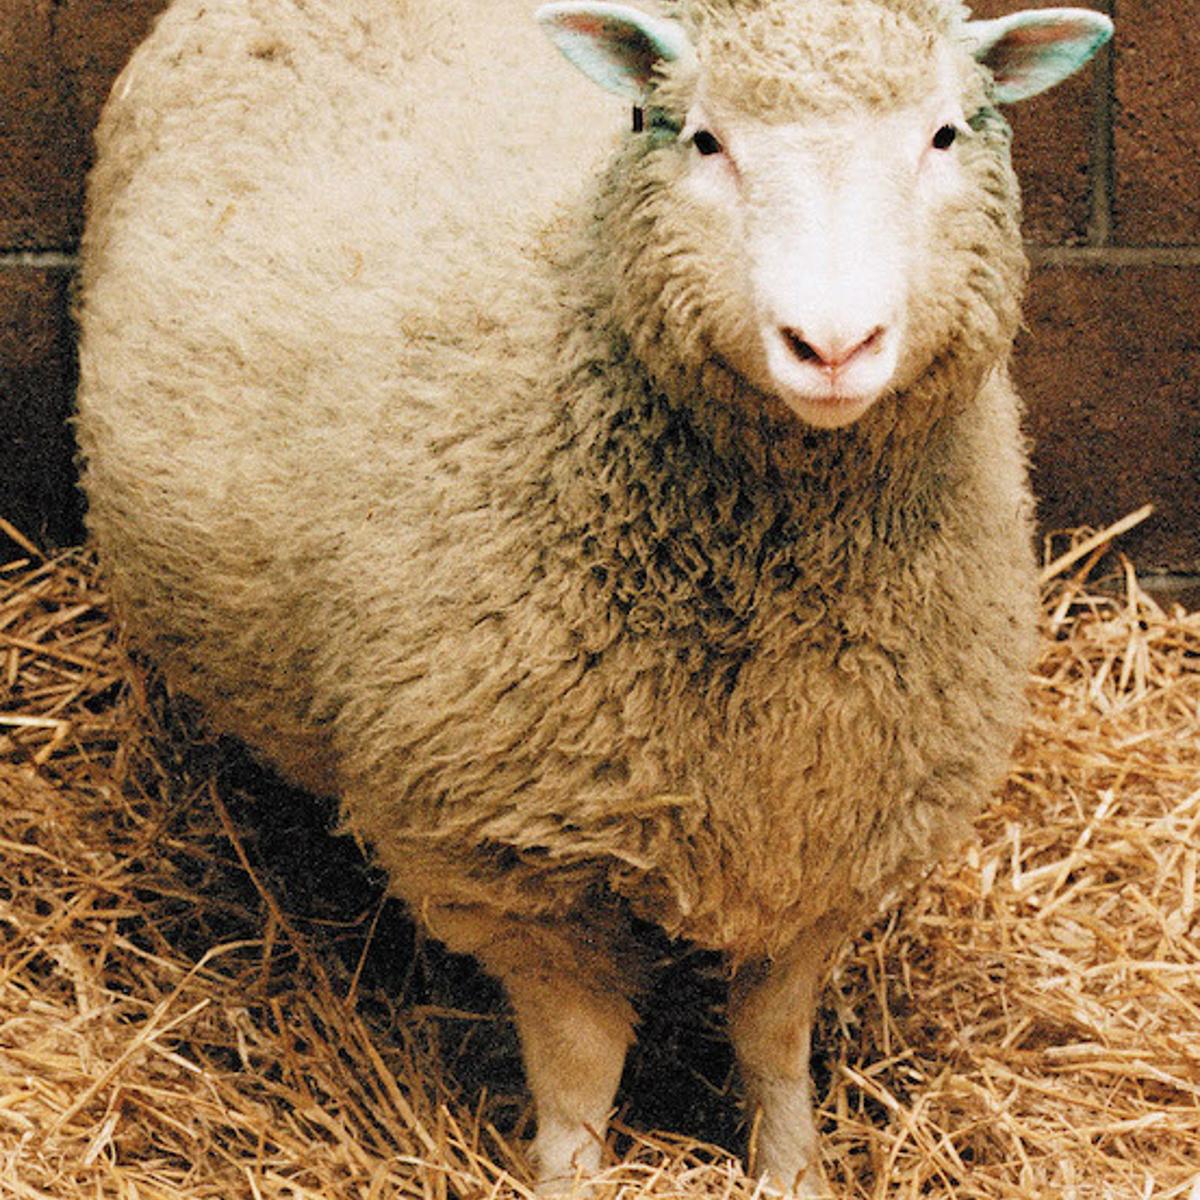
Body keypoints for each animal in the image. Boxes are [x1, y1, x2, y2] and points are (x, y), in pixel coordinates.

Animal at [74, 0, 1112, 1192]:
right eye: (701, 139)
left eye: (944, 135)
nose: (833, 344)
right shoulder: (522, 865)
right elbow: (581, 1068)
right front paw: (572, 1173)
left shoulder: (829, 831)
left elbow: (773, 1038)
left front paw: (791, 1167)